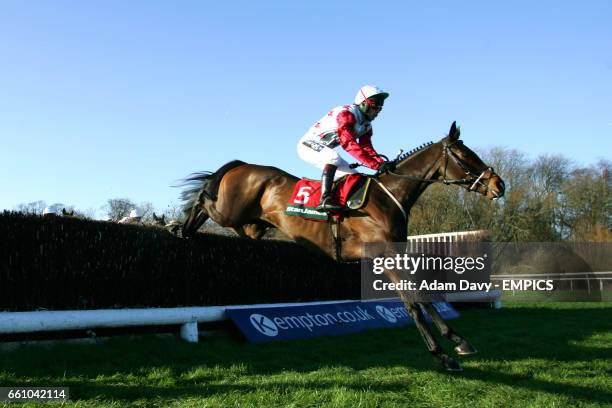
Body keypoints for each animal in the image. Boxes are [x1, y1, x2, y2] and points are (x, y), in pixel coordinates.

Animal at [183, 120, 506, 370]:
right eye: (465, 156)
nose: (499, 184)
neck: (387, 197)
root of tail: (242, 165)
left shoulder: (397, 254)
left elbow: (422, 295)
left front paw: (459, 342)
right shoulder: (384, 256)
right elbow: (413, 301)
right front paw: (442, 354)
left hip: (252, 226)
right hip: (228, 210)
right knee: (203, 199)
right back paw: (179, 226)